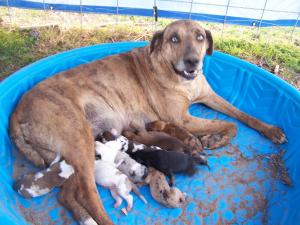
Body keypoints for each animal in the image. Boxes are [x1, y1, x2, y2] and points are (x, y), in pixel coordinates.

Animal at [9, 20, 286, 224]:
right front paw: (213, 139)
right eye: (174, 39)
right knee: (89, 195)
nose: (193, 61)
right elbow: (231, 125)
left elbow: (241, 116)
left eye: (200, 37)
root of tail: (15, 113)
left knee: (67, 194)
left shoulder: (209, 96)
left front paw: (271, 130)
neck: (179, 76)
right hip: (78, 138)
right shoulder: (181, 119)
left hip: (72, 157)